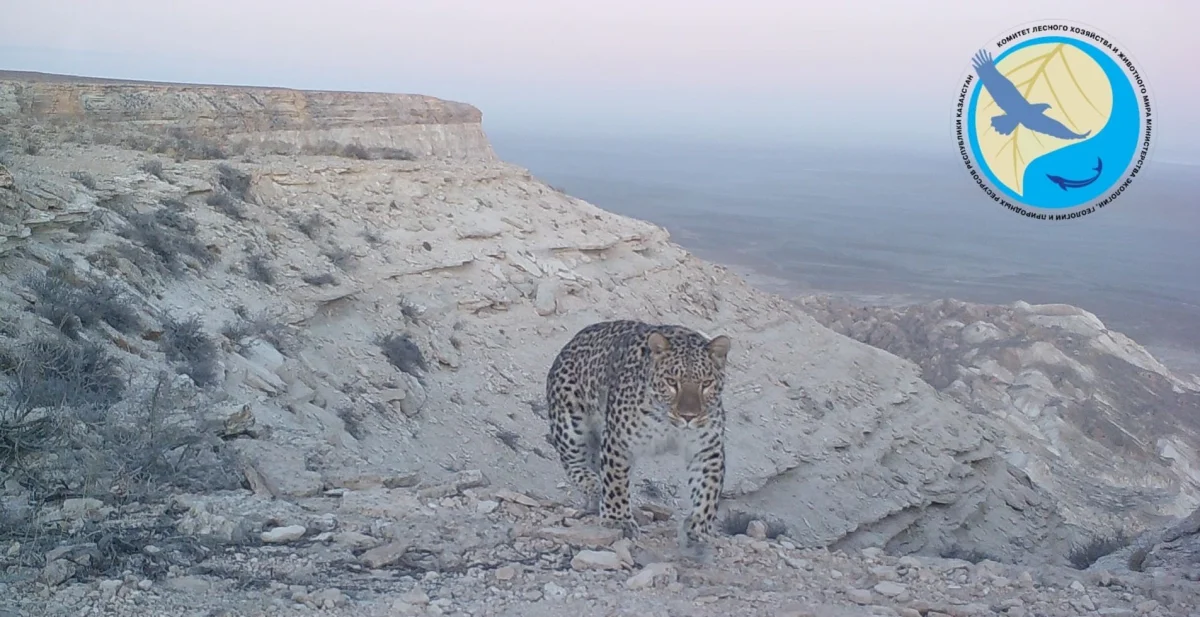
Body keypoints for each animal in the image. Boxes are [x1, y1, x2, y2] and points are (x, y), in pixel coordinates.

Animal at [547, 316, 729, 547]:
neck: (668, 423)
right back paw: (594, 486)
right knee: (575, 463)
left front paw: (698, 528)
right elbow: (616, 482)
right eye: (672, 382)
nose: (689, 416)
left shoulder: (706, 448)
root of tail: (569, 344)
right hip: (570, 423)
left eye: (706, 384)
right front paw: (618, 520)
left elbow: (708, 490)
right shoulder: (618, 440)